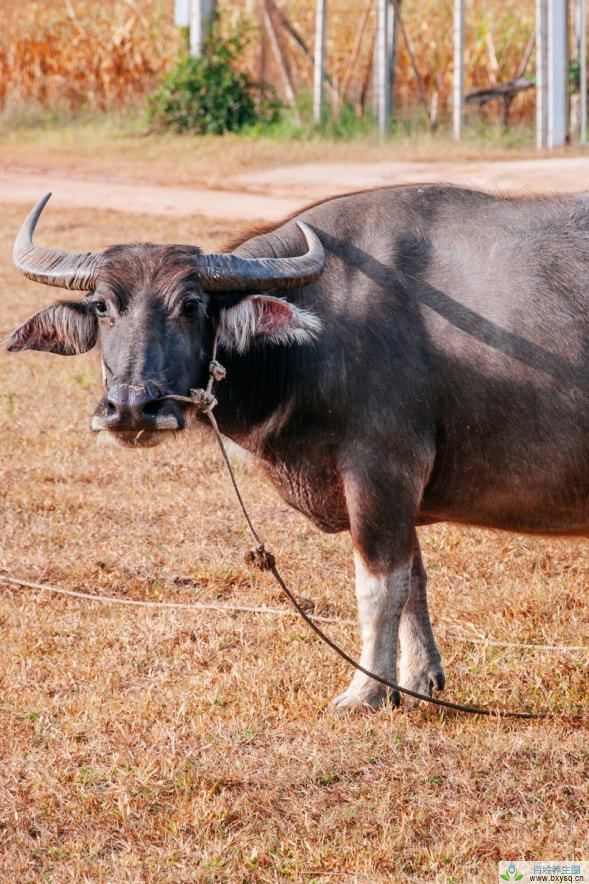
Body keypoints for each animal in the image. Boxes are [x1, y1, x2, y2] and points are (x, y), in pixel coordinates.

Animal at [8, 188, 588, 712]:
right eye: (102, 306)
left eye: (191, 306)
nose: (131, 408)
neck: (316, 340)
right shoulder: (397, 493)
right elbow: (414, 581)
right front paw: (416, 682)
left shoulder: (381, 470)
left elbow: (380, 589)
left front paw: (364, 693)